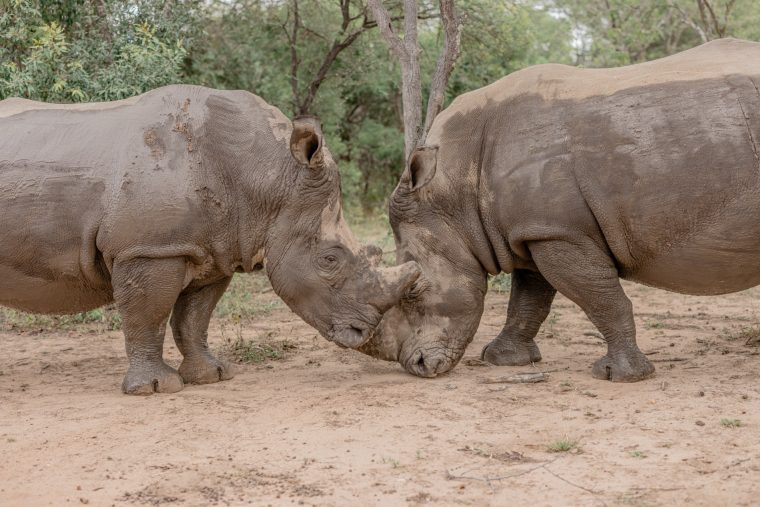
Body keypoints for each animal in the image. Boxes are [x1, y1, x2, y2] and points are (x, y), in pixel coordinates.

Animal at [0, 85, 420, 394]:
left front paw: (212, 376)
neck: (268, 177)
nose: (363, 331)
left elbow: (194, 318)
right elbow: (148, 316)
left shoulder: (214, 250)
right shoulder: (150, 249)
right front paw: (156, 388)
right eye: (330, 259)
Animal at [357, 38, 760, 382]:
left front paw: (621, 376)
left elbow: (601, 299)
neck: (453, 189)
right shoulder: (533, 231)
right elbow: (528, 301)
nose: (419, 366)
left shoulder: (559, 232)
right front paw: (503, 360)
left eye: (415, 291)